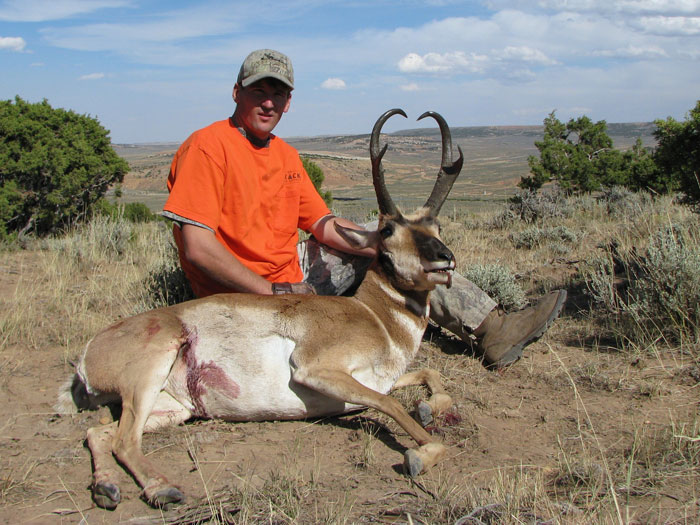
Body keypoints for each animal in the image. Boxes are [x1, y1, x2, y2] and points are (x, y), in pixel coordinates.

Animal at [60, 109, 462, 508]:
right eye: (388, 232)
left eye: (436, 226)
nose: (444, 260)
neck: (375, 317)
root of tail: (89, 352)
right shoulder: (317, 370)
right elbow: (397, 410)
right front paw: (418, 455)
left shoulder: (381, 378)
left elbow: (431, 378)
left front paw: (429, 407)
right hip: (151, 371)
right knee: (123, 440)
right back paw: (163, 489)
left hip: (171, 407)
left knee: (99, 433)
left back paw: (107, 488)